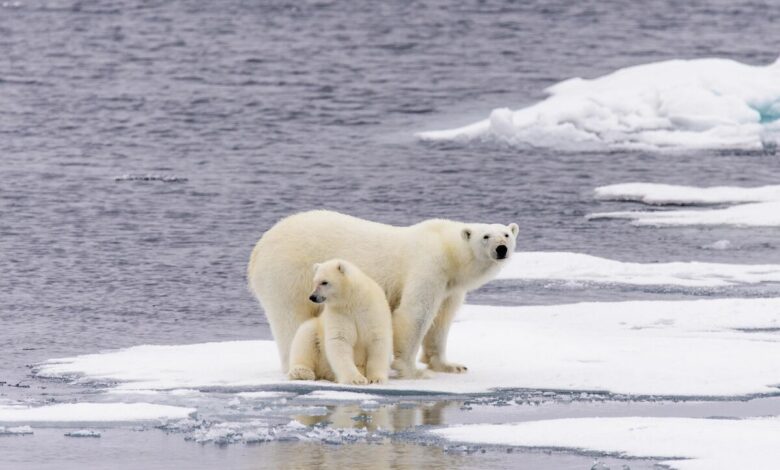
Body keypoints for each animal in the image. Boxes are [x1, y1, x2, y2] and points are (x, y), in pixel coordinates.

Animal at [248, 210, 518, 378]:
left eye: (506, 234)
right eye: (485, 236)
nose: (501, 248)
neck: (447, 248)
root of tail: (258, 249)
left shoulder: (450, 286)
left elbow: (442, 320)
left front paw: (451, 365)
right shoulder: (428, 265)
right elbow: (414, 314)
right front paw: (411, 370)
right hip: (290, 274)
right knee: (291, 320)